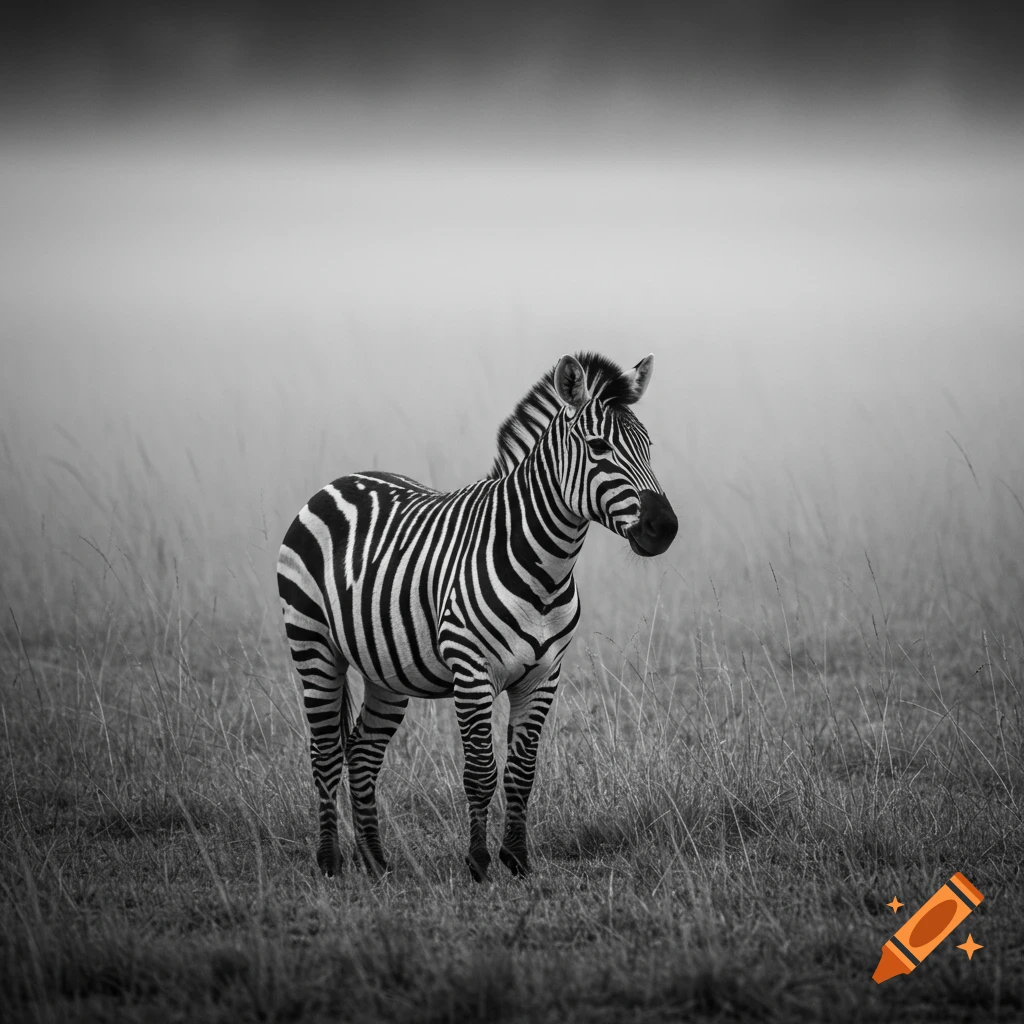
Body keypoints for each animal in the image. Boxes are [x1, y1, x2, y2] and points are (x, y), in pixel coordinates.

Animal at [277, 351, 678, 882]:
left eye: (648, 447)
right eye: (598, 447)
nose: (665, 528)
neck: (545, 568)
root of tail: (338, 481)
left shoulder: (544, 675)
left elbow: (522, 773)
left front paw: (518, 860)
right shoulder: (472, 671)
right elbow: (481, 771)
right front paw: (479, 863)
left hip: (386, 669)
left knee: (362, 752)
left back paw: (376, 862)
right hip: (313, 646)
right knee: (324, 753)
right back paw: (329, 862)